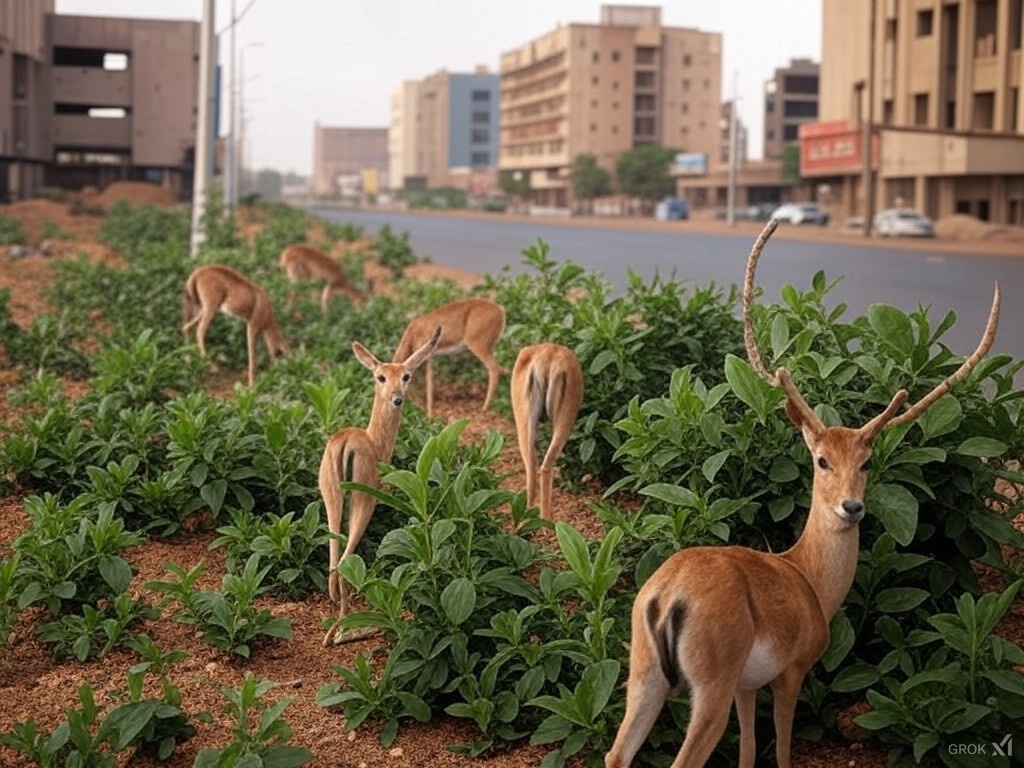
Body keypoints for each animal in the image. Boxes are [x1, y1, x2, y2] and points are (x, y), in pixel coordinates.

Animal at [319, 327, 440, 647]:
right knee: (344, 561)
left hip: (331, 496)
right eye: (380, 376)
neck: (375, 441)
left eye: (406, 375)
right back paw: (344, 633)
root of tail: (345, 443)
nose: (397, 399)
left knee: (332, 561)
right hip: (363, 502)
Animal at [602, 218, 1003, 768]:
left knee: (615, 754)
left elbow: (750, 753)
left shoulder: (749, 686)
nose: (851, 506)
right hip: (709, 685)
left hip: (645, 674)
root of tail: (666, 595)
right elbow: (783, 752)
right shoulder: (790, 672)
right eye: (821, 459)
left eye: (866, 460)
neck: (808, 578)